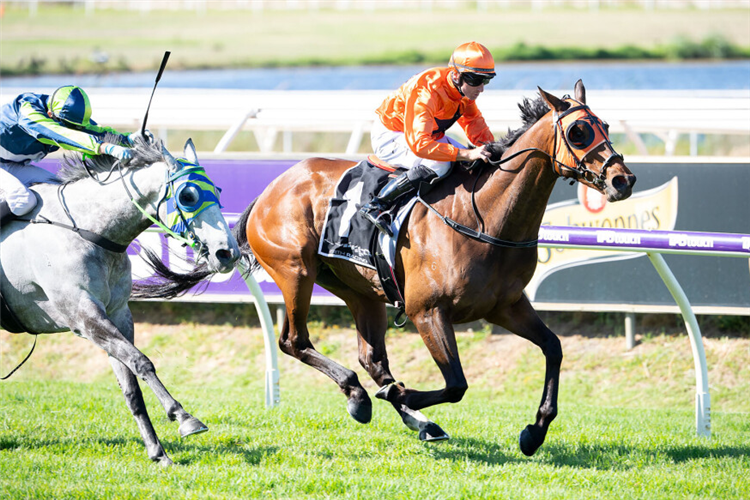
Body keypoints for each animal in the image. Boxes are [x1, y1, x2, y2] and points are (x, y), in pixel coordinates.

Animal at [0, 138, 239, 464]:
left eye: (217, 191)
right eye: (188, 195)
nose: (228, 253)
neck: (88, 231)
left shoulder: (117, 315)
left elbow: (131, 386)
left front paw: (158, 452)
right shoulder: (83, 316)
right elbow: (141, 362)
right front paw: (183, 417)